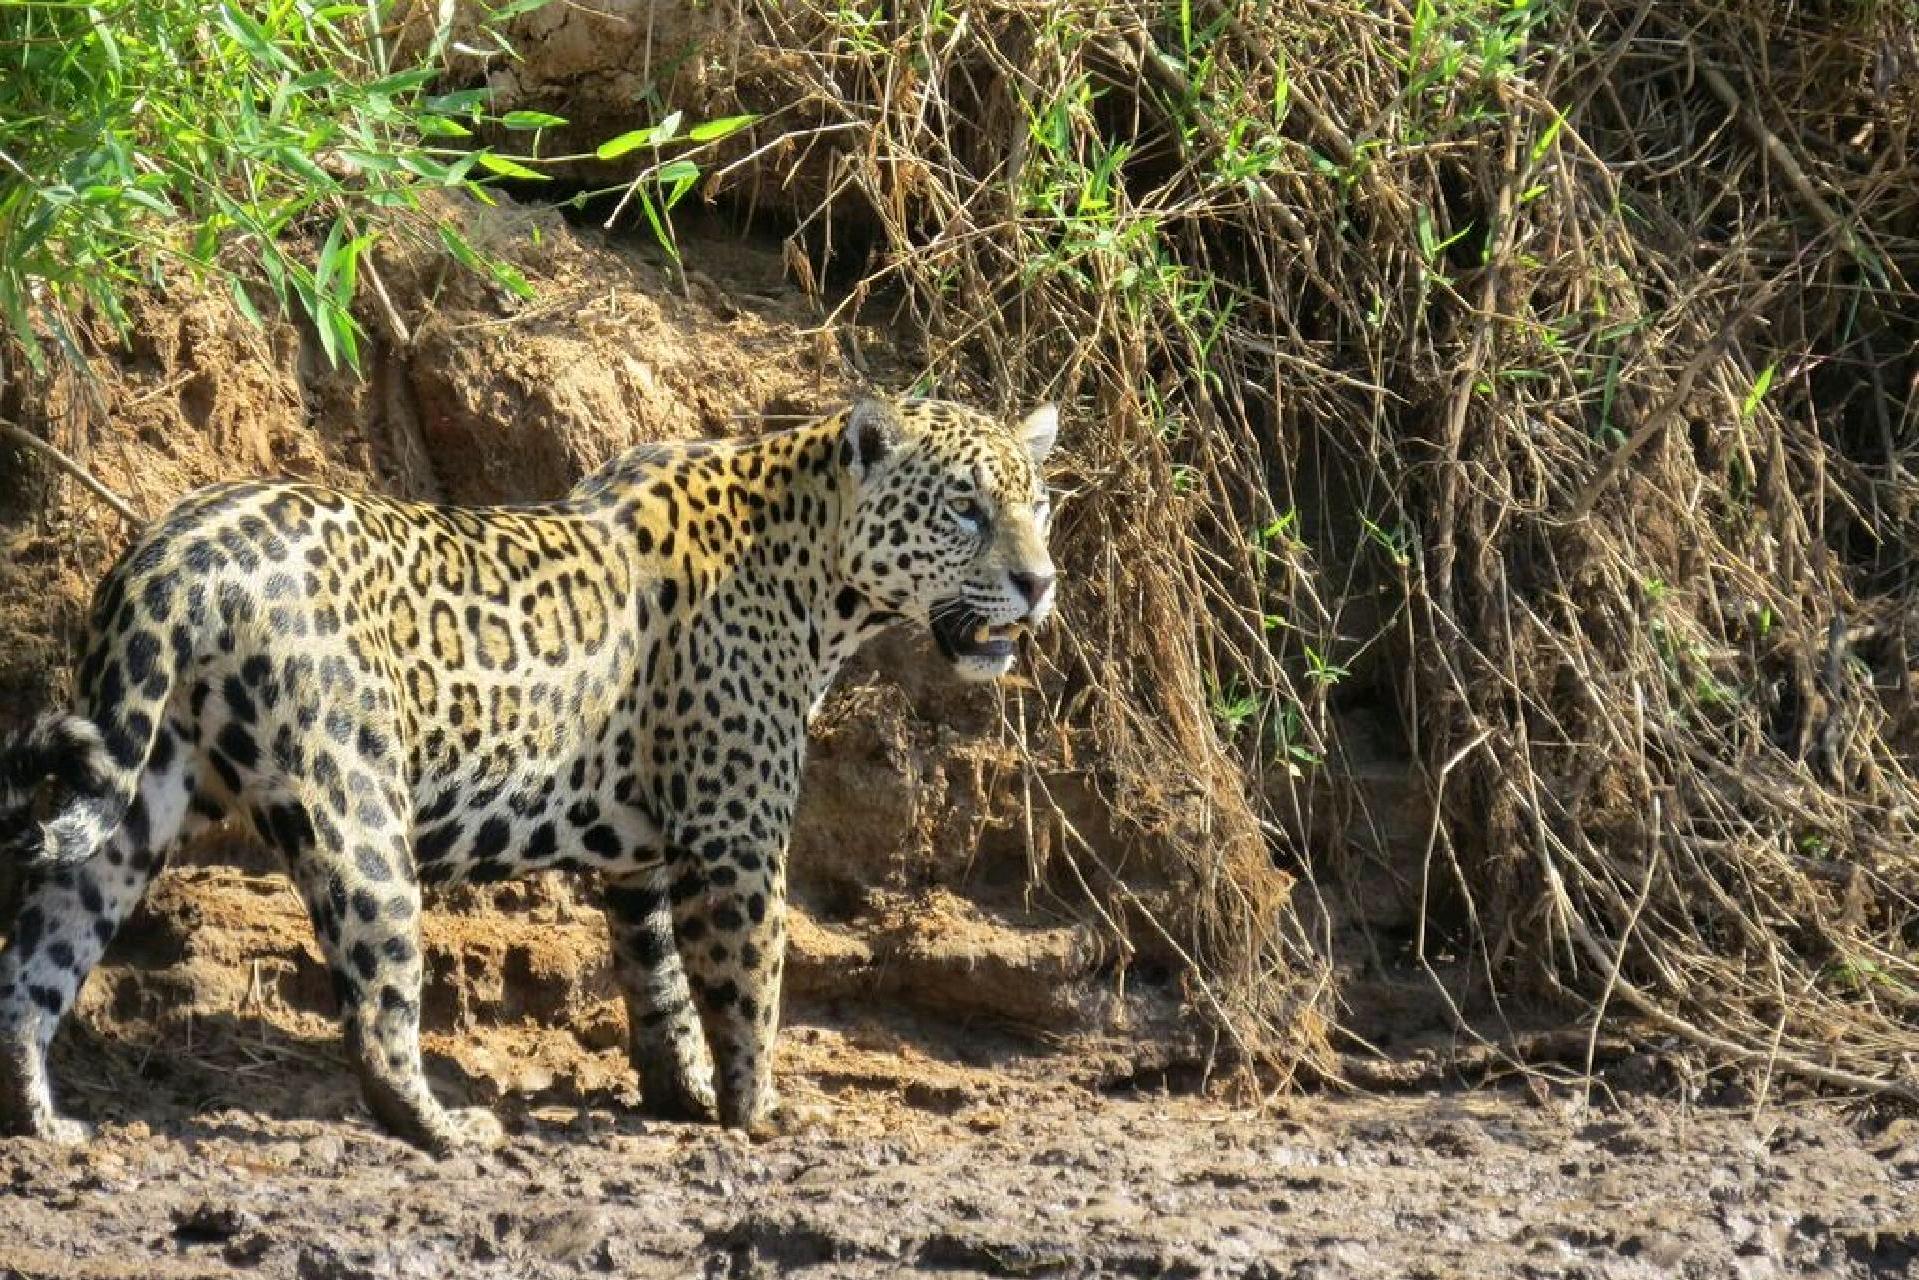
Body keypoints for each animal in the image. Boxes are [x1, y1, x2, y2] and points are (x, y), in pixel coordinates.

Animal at [0, 395, 1058, 1151]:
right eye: (965, 507)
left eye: (1036, 503)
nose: (1039, 582)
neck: (822, 579)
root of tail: (170, 551)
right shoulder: (737, 838)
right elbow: (749, 980)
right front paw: (758, 1111)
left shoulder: (643, 861)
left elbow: (661, 985)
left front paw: (683, 1094)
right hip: (357, 804)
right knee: (378, 1004)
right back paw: (445, 1128)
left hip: (136, 788)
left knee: (39, 952)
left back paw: (39, 1119)